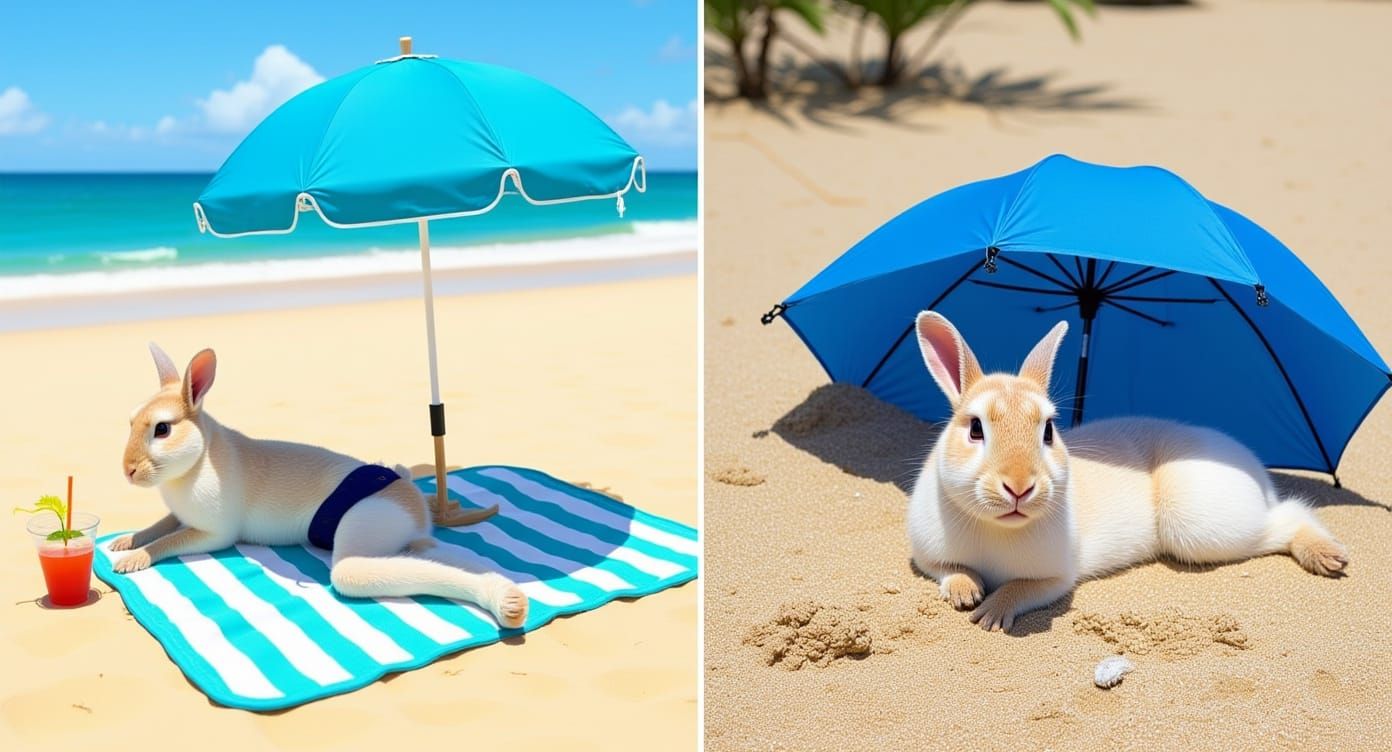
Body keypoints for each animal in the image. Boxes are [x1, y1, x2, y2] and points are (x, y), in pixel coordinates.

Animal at [112, 343, 529, 629]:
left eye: (162, 429)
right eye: (130, 422)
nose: (127, 471)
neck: (199, 459)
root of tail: (409, 493)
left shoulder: (213, 534)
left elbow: (169, 541)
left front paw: (134, 559)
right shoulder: (179, 516)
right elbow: (160, 525)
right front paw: (127, 541)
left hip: (361, 540)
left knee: (363, 570)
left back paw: (506, 604)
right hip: (410, 539)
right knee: (437, 553)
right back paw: (502, 593)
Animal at [906, 311, 1348, 634]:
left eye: (1048, 430)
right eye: (975, 428)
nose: (1019, 487)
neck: (996, 525)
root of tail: (1257, 471)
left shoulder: (1055, 578)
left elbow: (1019, 588)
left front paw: (991, 614)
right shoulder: (927, 555)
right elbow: (949, 570)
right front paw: (965, 593)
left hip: (1198, 524)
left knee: (1289, 516)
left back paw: (1327, 556)